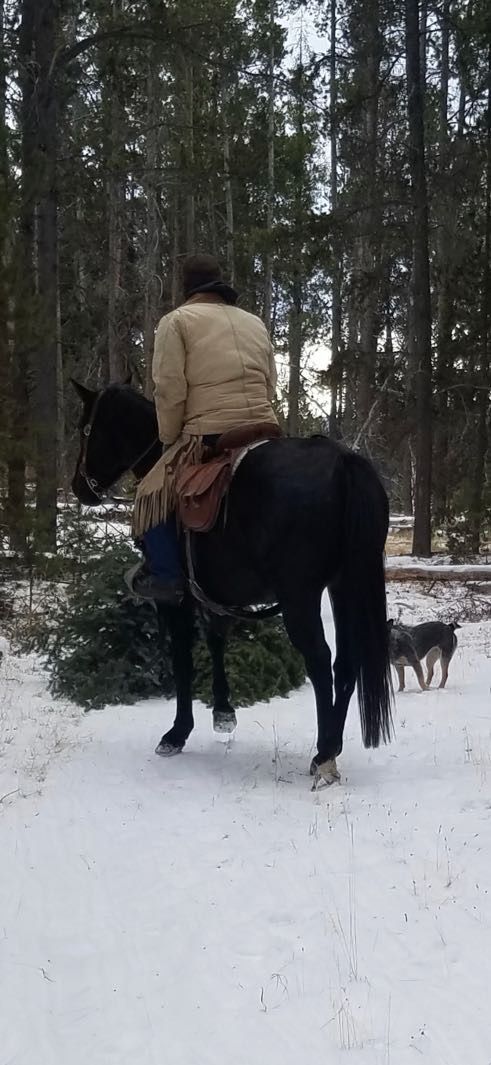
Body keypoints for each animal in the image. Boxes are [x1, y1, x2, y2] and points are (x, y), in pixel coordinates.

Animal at [71, 382, 393, 785]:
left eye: (86, 428)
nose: (79, 487)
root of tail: (342, 462)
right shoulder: (219, 595)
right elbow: (216, 641)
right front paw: (223, 713)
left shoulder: (175, 600)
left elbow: (182, 658)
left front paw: (177, 733)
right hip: (343, 587)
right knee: (345, 663)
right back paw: (332, 746)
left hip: (300, 597)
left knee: (319, 661)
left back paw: (323, 754)